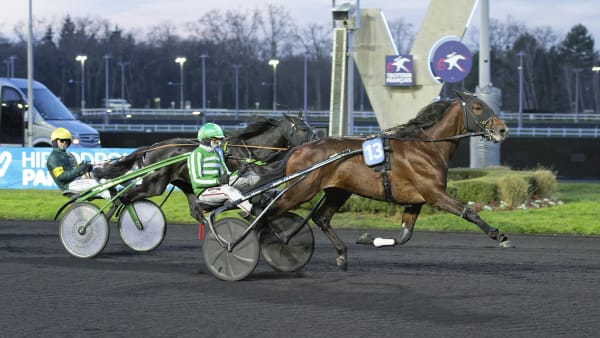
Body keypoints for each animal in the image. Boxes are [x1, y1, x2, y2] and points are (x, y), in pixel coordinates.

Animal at [94, 112, 316, 220]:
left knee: (194, 211)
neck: (247, 151)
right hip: (154, 184)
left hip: (182, 183)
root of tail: (153, 147)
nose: (317, 140)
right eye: (303, 128)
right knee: (123, 196)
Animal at [264, 91, 516, 270]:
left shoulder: (415, 201)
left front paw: (368, 239)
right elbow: (470, 212)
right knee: (269, 213)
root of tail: (299, 149)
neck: (427, 148)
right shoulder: (434, 194)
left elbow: (403, 236)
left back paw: (340, 254)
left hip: (338, 191)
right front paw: (500, 236)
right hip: (300, 189)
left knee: (321, 217)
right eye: (477, 107)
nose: (503, 130)